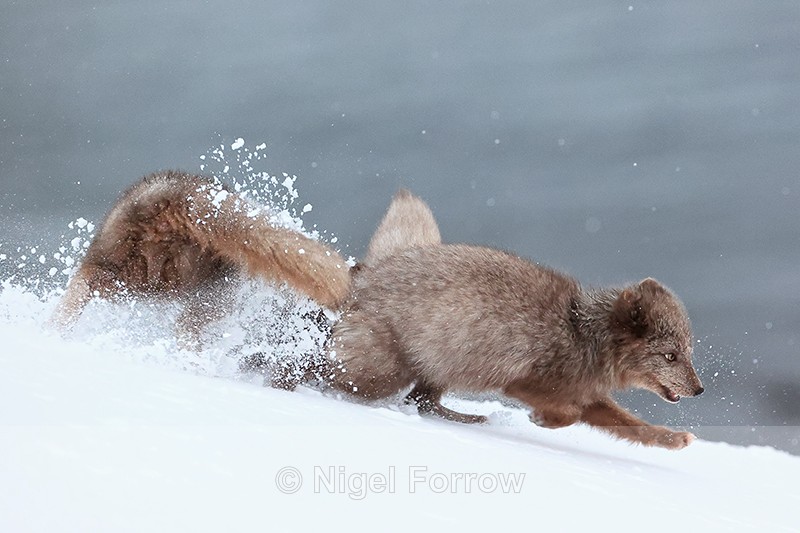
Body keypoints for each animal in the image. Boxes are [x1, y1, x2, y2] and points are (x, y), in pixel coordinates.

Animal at [325, 190, 704, 450]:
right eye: (670, 356)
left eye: (688, 353)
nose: (700, 390)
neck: (583, 333)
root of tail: (366, 277)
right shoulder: (523, 383)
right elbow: (569, 415)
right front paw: (542, 420)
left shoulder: (588, 394)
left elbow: (638, 427)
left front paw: (676, 439)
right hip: (384, 374)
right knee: (334, 377)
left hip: (437, 371)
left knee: (421, 402)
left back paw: (472, 419)